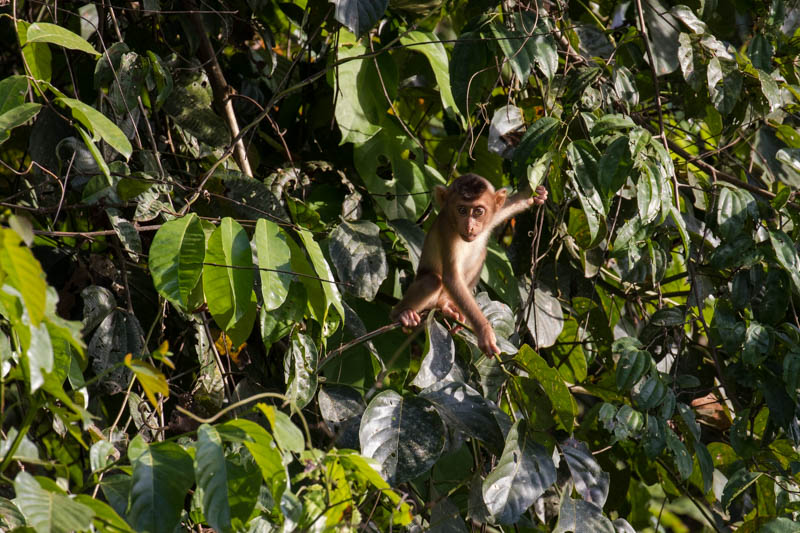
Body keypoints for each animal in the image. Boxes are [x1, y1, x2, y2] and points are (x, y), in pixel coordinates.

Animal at [390, 175, 548, 356]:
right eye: (461, 210)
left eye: (478, 212)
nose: (469, 226)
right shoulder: (446, 230)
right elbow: (451, 278)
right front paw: (484, 331)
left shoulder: (492, 216)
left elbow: (511, 204)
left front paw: (536, 194)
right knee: (433, 281)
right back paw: (402, 314)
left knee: (481, 254)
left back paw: (445, 305)